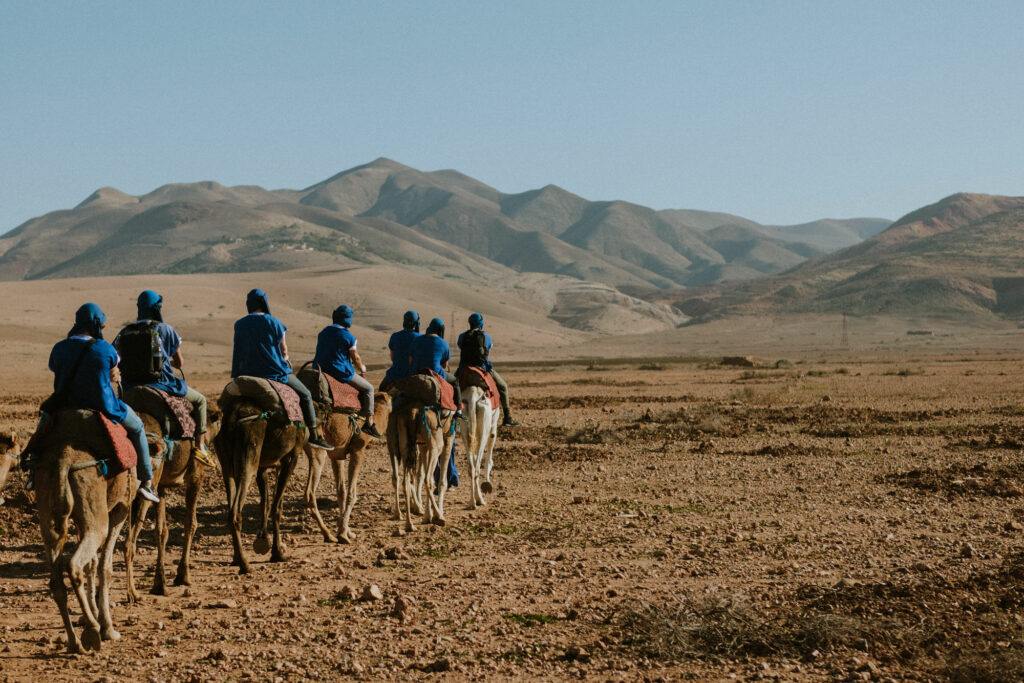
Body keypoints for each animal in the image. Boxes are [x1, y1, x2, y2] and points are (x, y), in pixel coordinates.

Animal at [32, 409, 140, 655]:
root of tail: (63, 460)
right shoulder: (120, 507)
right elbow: (104, 567)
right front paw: (108, 628)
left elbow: (92, 564)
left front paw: (96, 615)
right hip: (97, 511)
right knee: (74, 564)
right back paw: (92, 630)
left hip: (46, 508)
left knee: (57, 578)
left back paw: (75, 642)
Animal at [123, 405, 220, 602]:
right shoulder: (196, 474)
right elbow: (191, 524)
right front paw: (183, 576)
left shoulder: (161, 487)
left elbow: (161, 531)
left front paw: (159, 585)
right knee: (128, 542)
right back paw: (133, 594)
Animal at [215, 393, 303, 573]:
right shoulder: (292, 456)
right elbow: (277, 507)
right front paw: (277, 554)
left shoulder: (265, 466)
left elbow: (266, 503)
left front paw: (264, 542)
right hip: (249, 450)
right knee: (236, 511)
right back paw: (244, 564)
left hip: (225, 460)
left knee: (231, 503)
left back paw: (236, 559)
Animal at [303, 395, 391, 544]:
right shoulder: (358, 450)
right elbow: (352, 494)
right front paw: (343, 534)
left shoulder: (337, 455)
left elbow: (341, 493)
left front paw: (347, 531)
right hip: (318, 453)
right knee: (309, 493)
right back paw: (328, 535)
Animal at [387, 401, 456, 532]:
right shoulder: (448, 438)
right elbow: (441, 482)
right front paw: (433, 515)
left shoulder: (423, 444)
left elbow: (420, 474)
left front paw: (427, 516)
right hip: (435, 443)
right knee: (427, 479)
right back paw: (439, 516)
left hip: (401, 444)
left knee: (401, 480)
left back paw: (407, 522)